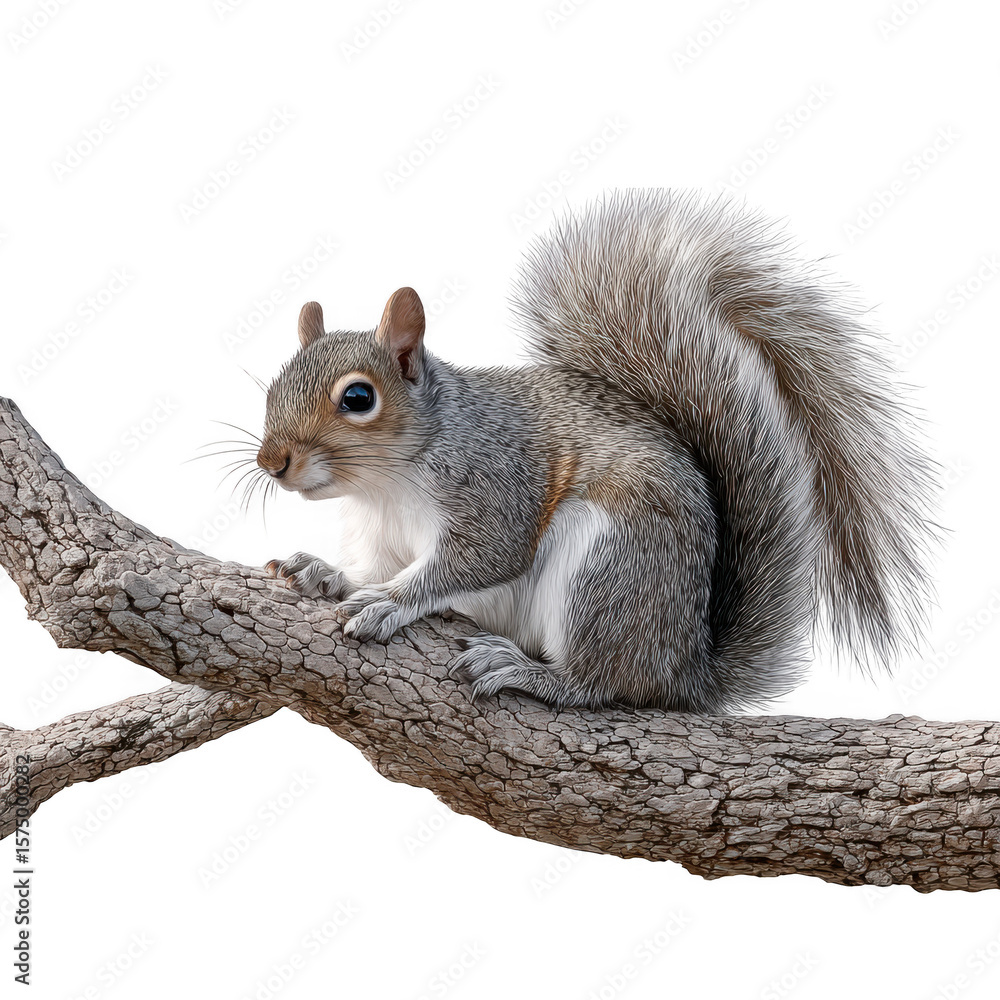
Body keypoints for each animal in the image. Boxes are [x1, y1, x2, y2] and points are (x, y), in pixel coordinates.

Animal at [256, 189, 937, 713]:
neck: (386, 487)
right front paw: (323, 573)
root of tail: (682, 669)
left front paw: (387, 603)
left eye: (358, 397)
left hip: (607, 568)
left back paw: (533, 673)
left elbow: (476, 559)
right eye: (273, 386)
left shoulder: (497, 484)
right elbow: (370, 566)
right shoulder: (380, 537)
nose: (272, 462)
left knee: (603, 684)